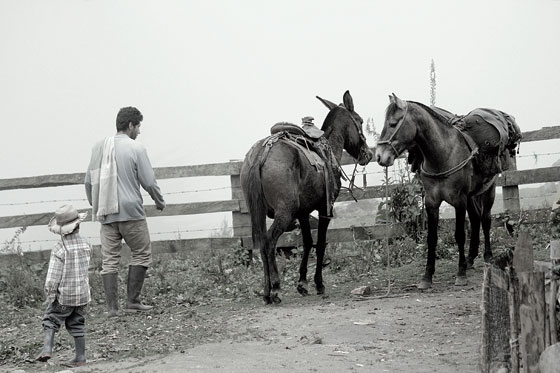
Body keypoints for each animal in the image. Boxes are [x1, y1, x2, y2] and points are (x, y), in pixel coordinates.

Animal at [240, 90, 372, 302]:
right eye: (359, 120)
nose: (367, 154)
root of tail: (263, 151)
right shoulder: (326, 209)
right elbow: (320, 244)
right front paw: (319, 283)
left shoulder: (303, 213)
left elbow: (308, 242)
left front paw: (302, 283)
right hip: (285, 213)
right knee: (269, 241)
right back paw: (275, 288)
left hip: (259, 212)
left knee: (261, 243)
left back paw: (267, 291)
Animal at [376, 92, 520, 288]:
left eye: (393, 123)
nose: (379, 156)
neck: (443, 156)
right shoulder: (432, 202)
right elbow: (431, 238)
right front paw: (427, 276)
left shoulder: (459, 201)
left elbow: (459, 234)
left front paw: (460, 274)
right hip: (472, 196)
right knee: (475, 219)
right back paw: (470, 259)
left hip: (488, 190)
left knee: (485, 220)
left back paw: (487, 257)